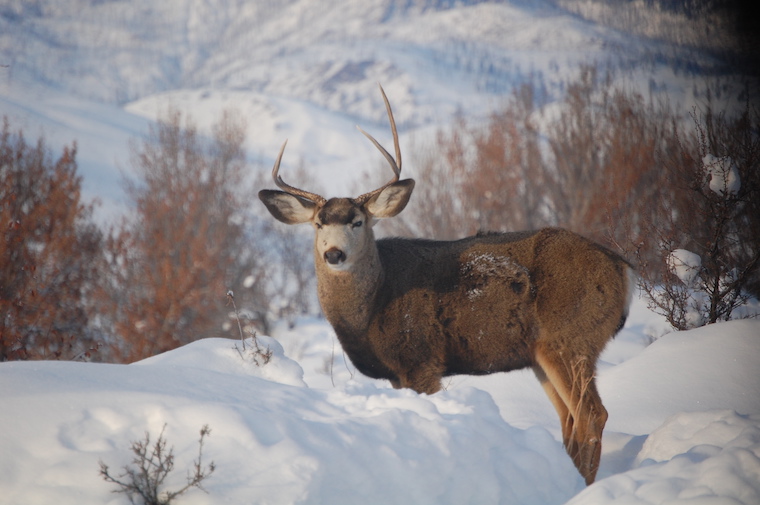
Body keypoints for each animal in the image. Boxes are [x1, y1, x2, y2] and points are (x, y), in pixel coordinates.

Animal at [258, 85, 635, 485]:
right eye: (318, 224)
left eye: (357, 221)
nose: (334, 254)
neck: (372, 307)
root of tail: (623, 269)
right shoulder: (397, 374)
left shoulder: (422, 359)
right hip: (540, 353)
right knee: (569, 419)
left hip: (570, 335)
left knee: (592, 414)